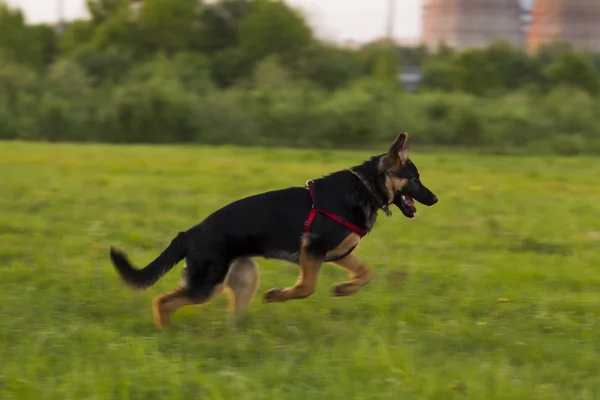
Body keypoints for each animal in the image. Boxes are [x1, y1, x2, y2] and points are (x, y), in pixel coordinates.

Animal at [109, 133, 436, 330]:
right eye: (415, 179)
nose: (435, 199)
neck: (365, 187)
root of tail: (191, 232)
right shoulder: (312, 251)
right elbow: (306, 287)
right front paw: (278, 295)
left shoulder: (337, 253)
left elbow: (365, 273)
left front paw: (343, 289)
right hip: (207, 284)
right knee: (162, 301)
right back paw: (166, 332)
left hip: (244, 278)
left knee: (231, 317)